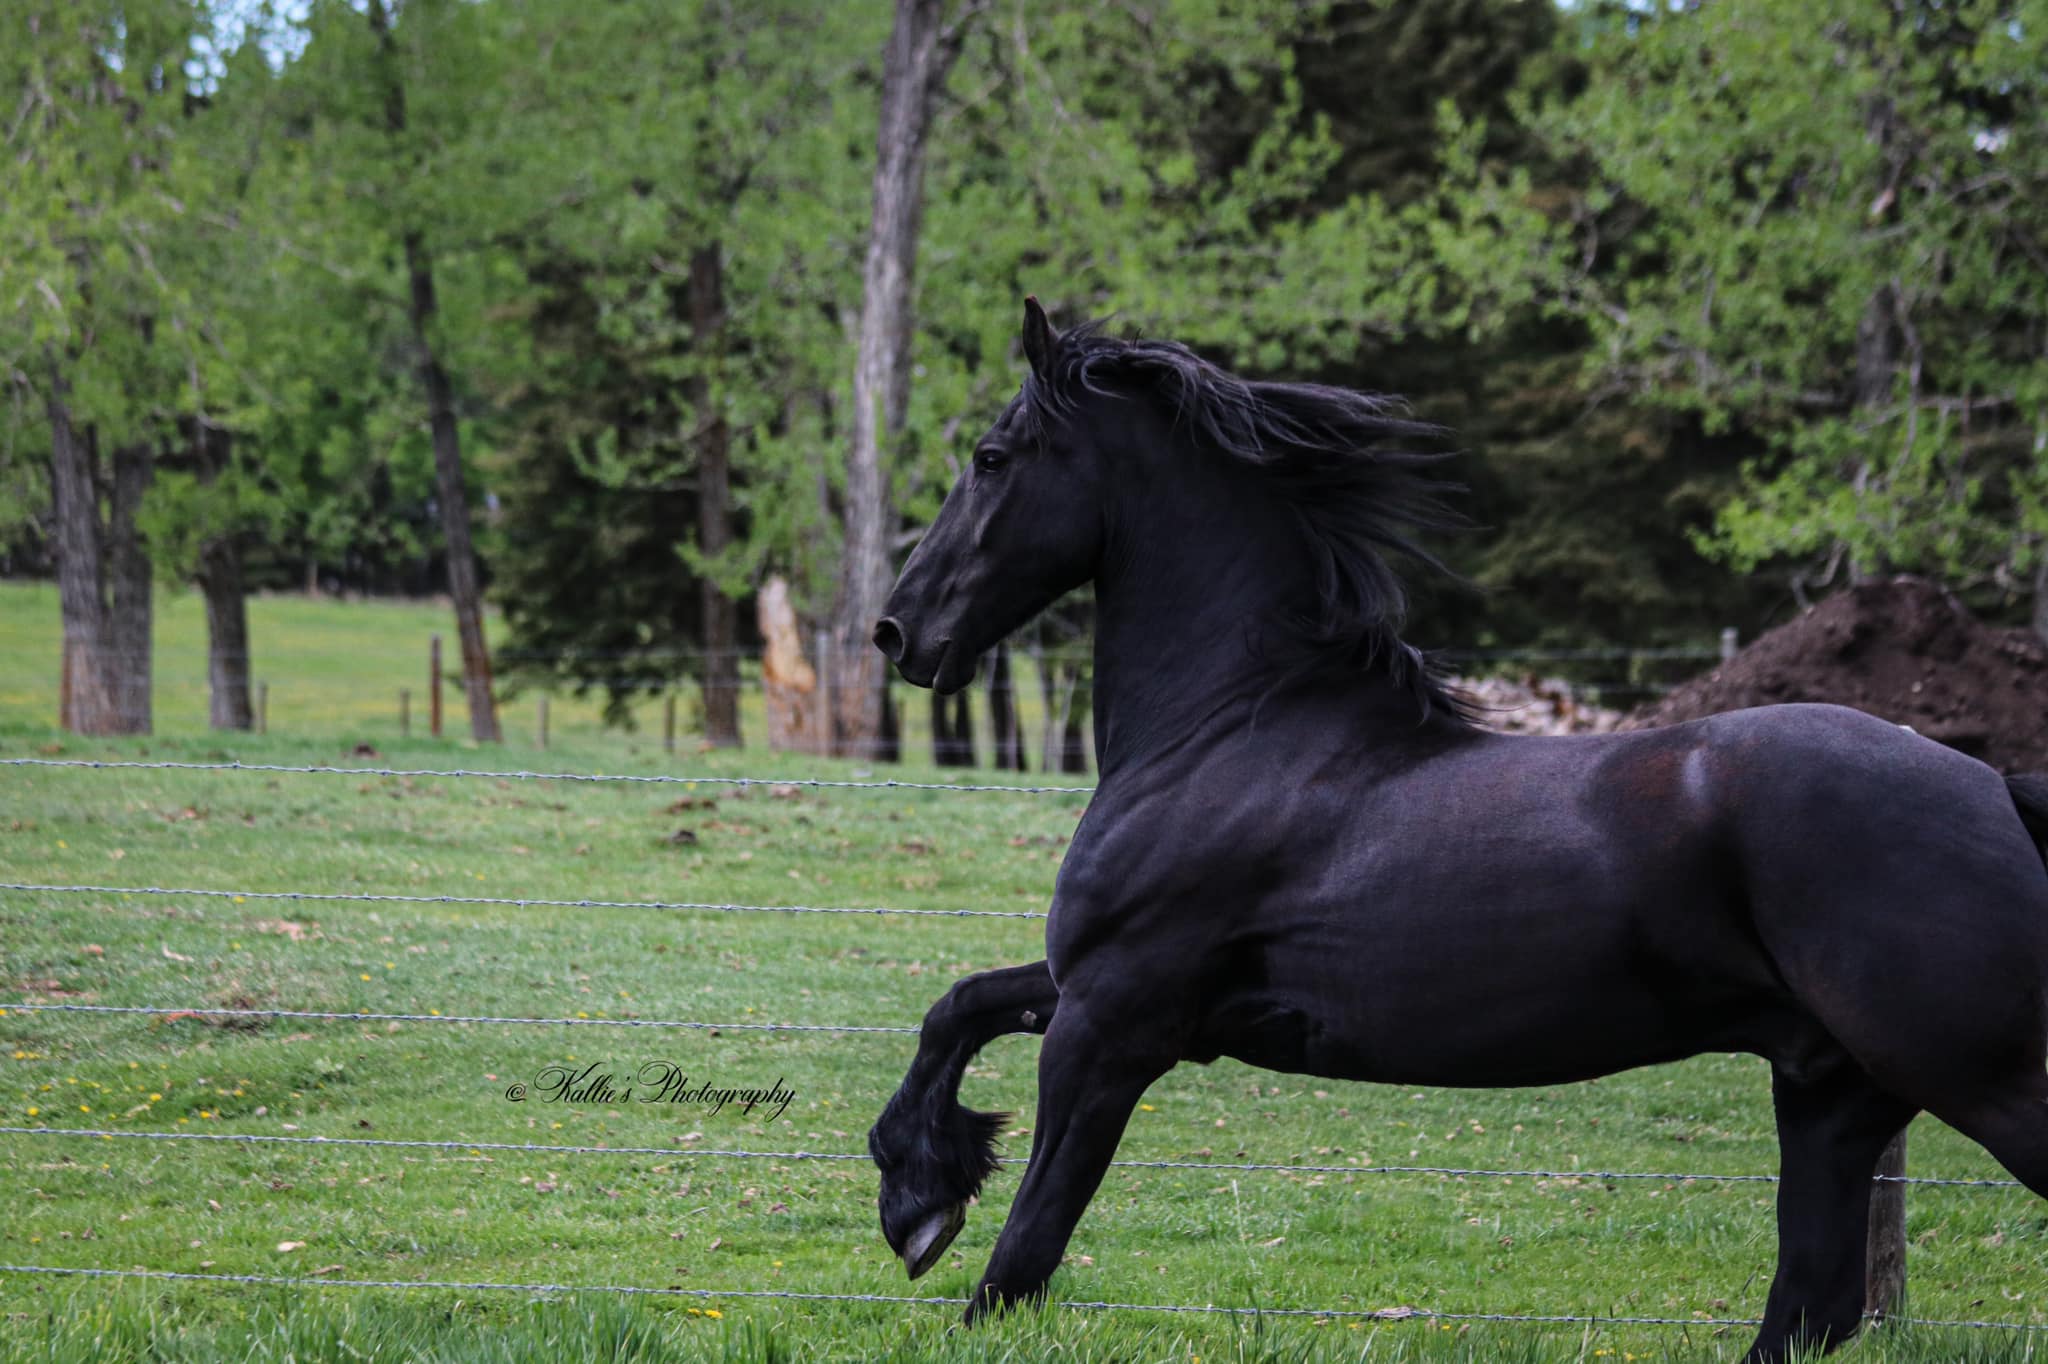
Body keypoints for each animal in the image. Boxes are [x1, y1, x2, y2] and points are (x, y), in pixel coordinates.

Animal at [860, 294, 2048, 1351]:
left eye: (991, 457)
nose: (898, 630)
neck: (1230, 725)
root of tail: (1999, 791)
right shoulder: (1124, 996)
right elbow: (957, 1006)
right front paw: (917, 1190)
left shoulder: (1112, 1020)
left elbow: (1024, 1246)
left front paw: (929, 1212)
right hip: (1829, 1092)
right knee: (1810, 1306)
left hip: (1969, 1070)